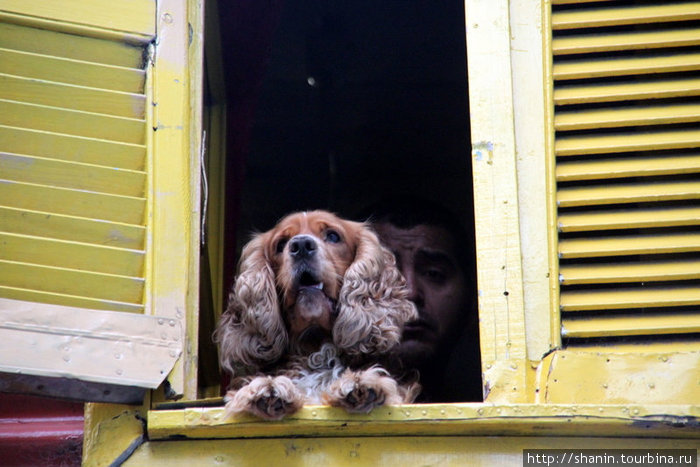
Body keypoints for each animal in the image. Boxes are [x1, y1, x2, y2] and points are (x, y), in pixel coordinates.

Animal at [213, 211, 422, 420]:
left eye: (333, 236)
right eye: (281, 244)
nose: (301, 246)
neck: (315, 347)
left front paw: (361, 383)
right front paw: (267, 389)